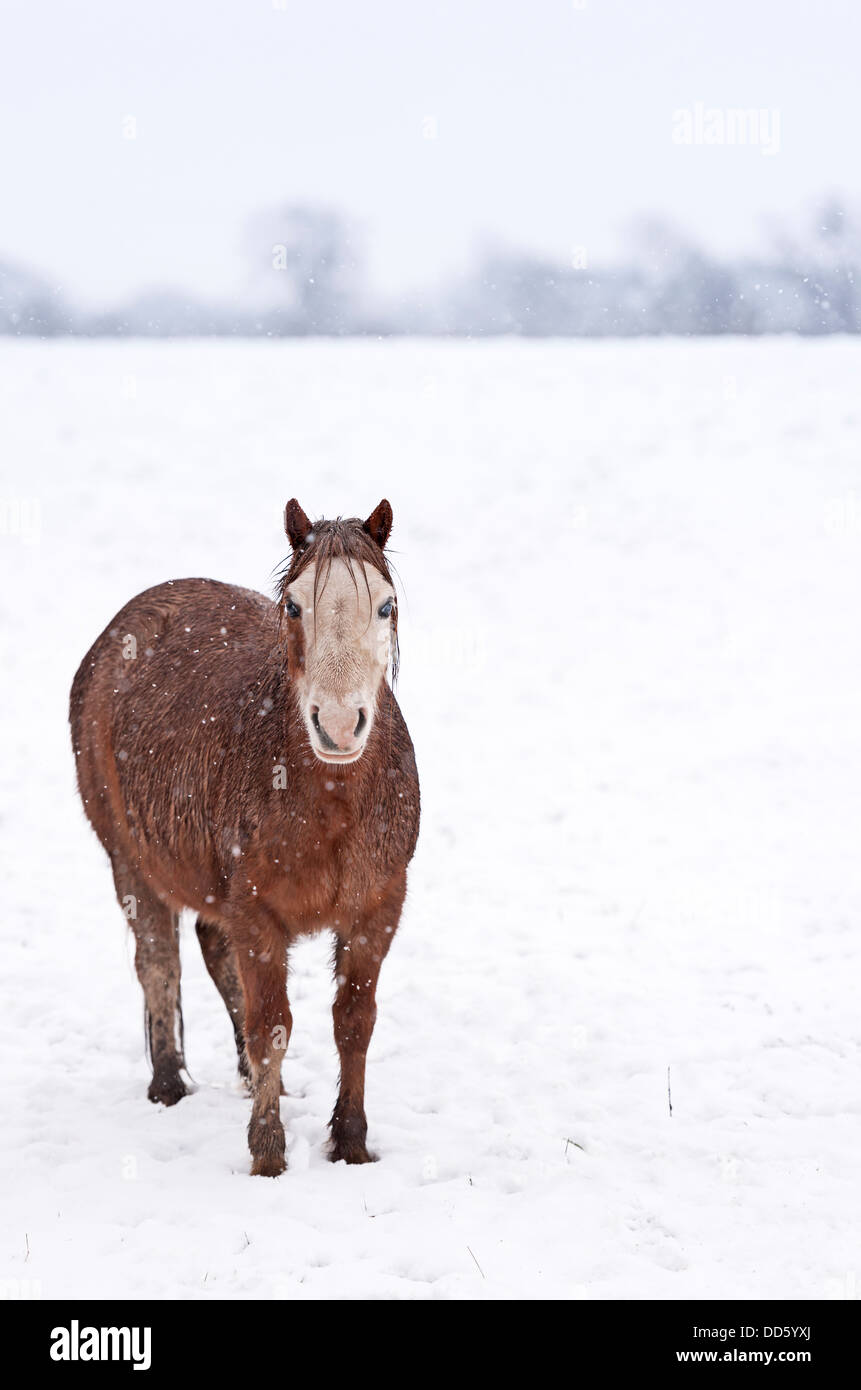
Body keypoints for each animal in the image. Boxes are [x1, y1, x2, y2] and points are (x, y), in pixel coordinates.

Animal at [70, 500, 420, 1173]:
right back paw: (169, 1084)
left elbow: (353, 1021)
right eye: (293, 606)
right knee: (160, 962)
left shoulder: (377, 908)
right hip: (130, 862)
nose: (340, 726)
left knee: (212, 951)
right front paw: (268, 1152)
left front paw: (351, 1142)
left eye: (386, 605)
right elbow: (271, 1026)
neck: (331, 801)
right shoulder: (257, 912)